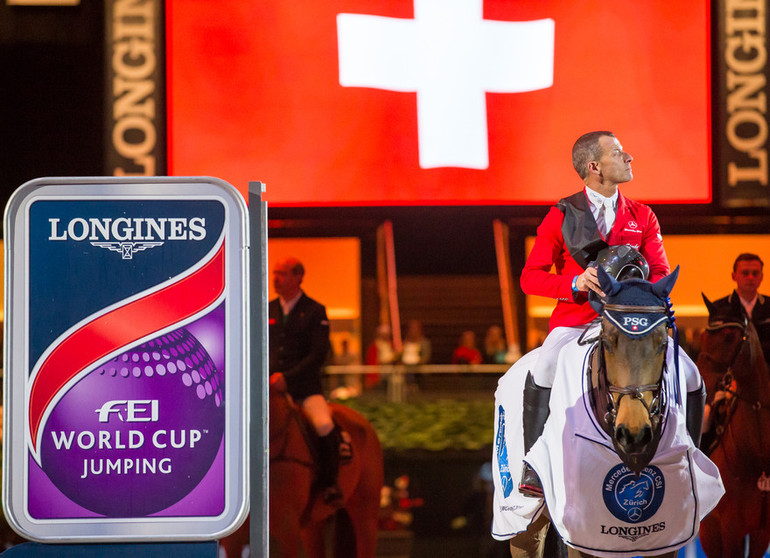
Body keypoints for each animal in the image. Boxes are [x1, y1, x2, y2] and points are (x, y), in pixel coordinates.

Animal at [496, 268, 724, 558]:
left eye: (663, 343)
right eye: (606, 342)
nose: (634, 433)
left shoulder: (669, 534)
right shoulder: (583, 533)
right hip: (522, 522)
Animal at [696, 296, 768, 556]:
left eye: (728, 336)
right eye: (704, 337)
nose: (701, 381)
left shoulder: (761, 532)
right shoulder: (730, 528)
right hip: (710, 531)